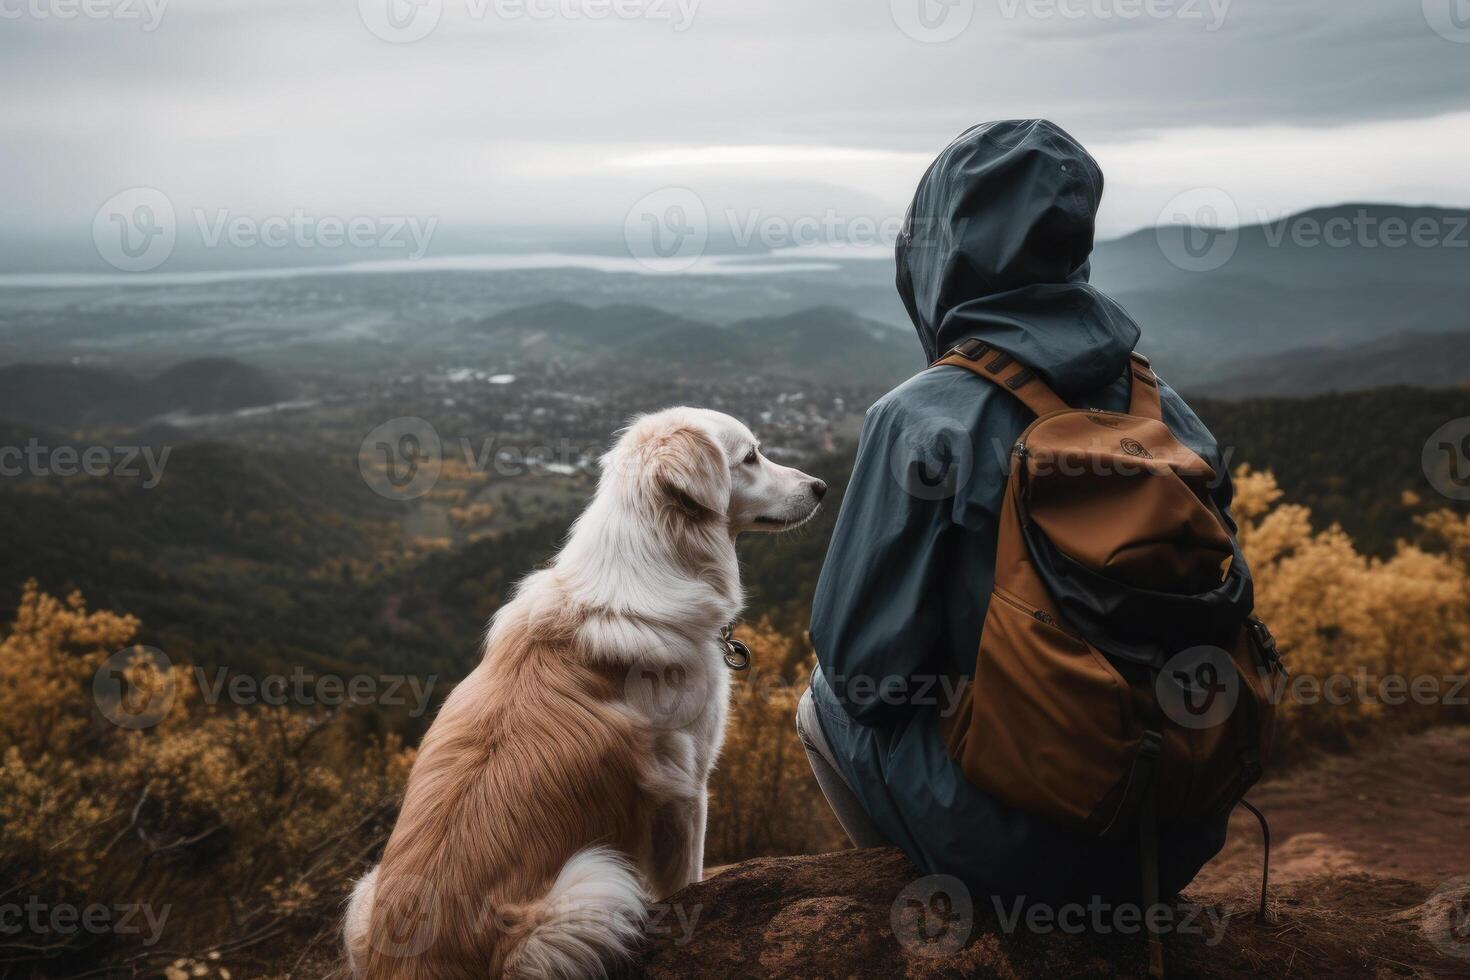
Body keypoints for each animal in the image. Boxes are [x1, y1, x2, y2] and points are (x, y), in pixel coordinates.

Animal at [345, 408, 829, 980]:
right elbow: (686, 879)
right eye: (751, 457)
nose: (822, 487)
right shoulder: (687, 789)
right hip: (591, 889)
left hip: (366, 891)